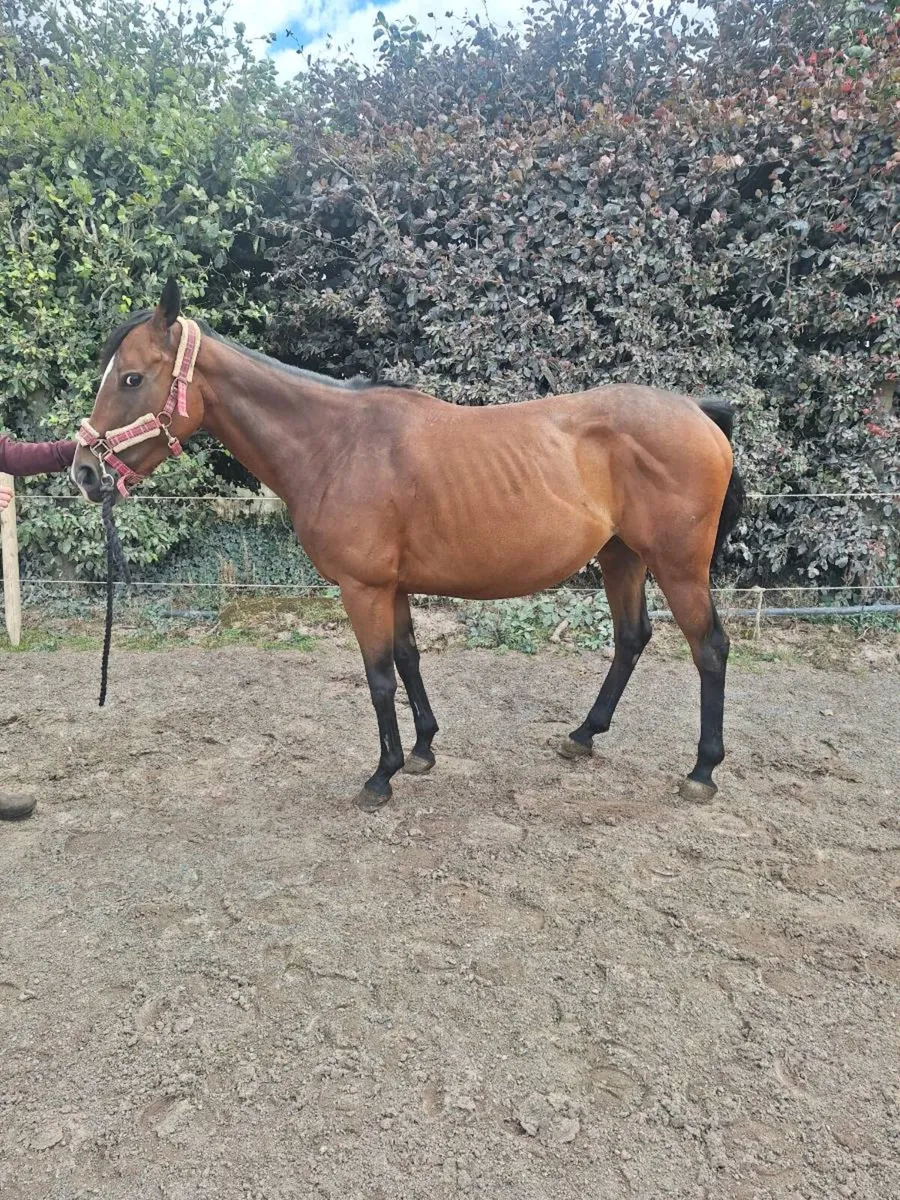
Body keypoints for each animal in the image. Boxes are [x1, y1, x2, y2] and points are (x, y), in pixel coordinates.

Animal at [72, 279, 745, 812]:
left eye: (131, 378)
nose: (83, 471)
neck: (335, 444)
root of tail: (697, 410)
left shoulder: (363, 588)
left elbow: (377, 678)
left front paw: (381, 776)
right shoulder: (391, 587)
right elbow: (408, 659)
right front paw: (422, 749)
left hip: (678, 565)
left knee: (709, 647)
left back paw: (702, 770)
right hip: (621, 557)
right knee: (631, 638)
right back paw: (583, 735)